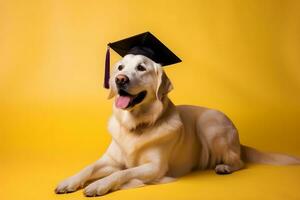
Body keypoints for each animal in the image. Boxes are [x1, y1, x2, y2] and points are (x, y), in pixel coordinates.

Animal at [54, 54, 300, 196]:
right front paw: (69, 182)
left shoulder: (155, 167)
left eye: (141, 68)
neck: (136, 125)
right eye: (120, 67)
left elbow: (122, 173)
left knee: (239, 161)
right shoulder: (110, 160)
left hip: (210, 125)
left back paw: (224, 167)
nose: (119, 79)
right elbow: (89, 167)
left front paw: (99, 185)